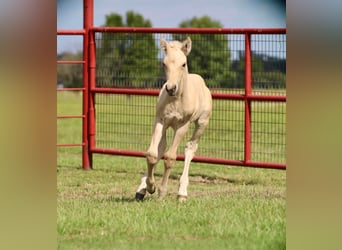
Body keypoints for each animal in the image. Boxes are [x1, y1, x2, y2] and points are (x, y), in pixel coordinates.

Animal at [136, 36, 211, 201]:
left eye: (183, 64)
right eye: (164, 63)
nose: (170, 88)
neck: (176, 100)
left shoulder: (182, 125)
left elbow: (170, 158)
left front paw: (162, 191)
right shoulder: (160, 120)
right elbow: (152, 154)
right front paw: (150, 187)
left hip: (201, 123)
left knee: (190, 148)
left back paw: (182, 193)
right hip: (167, 125)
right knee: (161, 147)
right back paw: (141, 189)